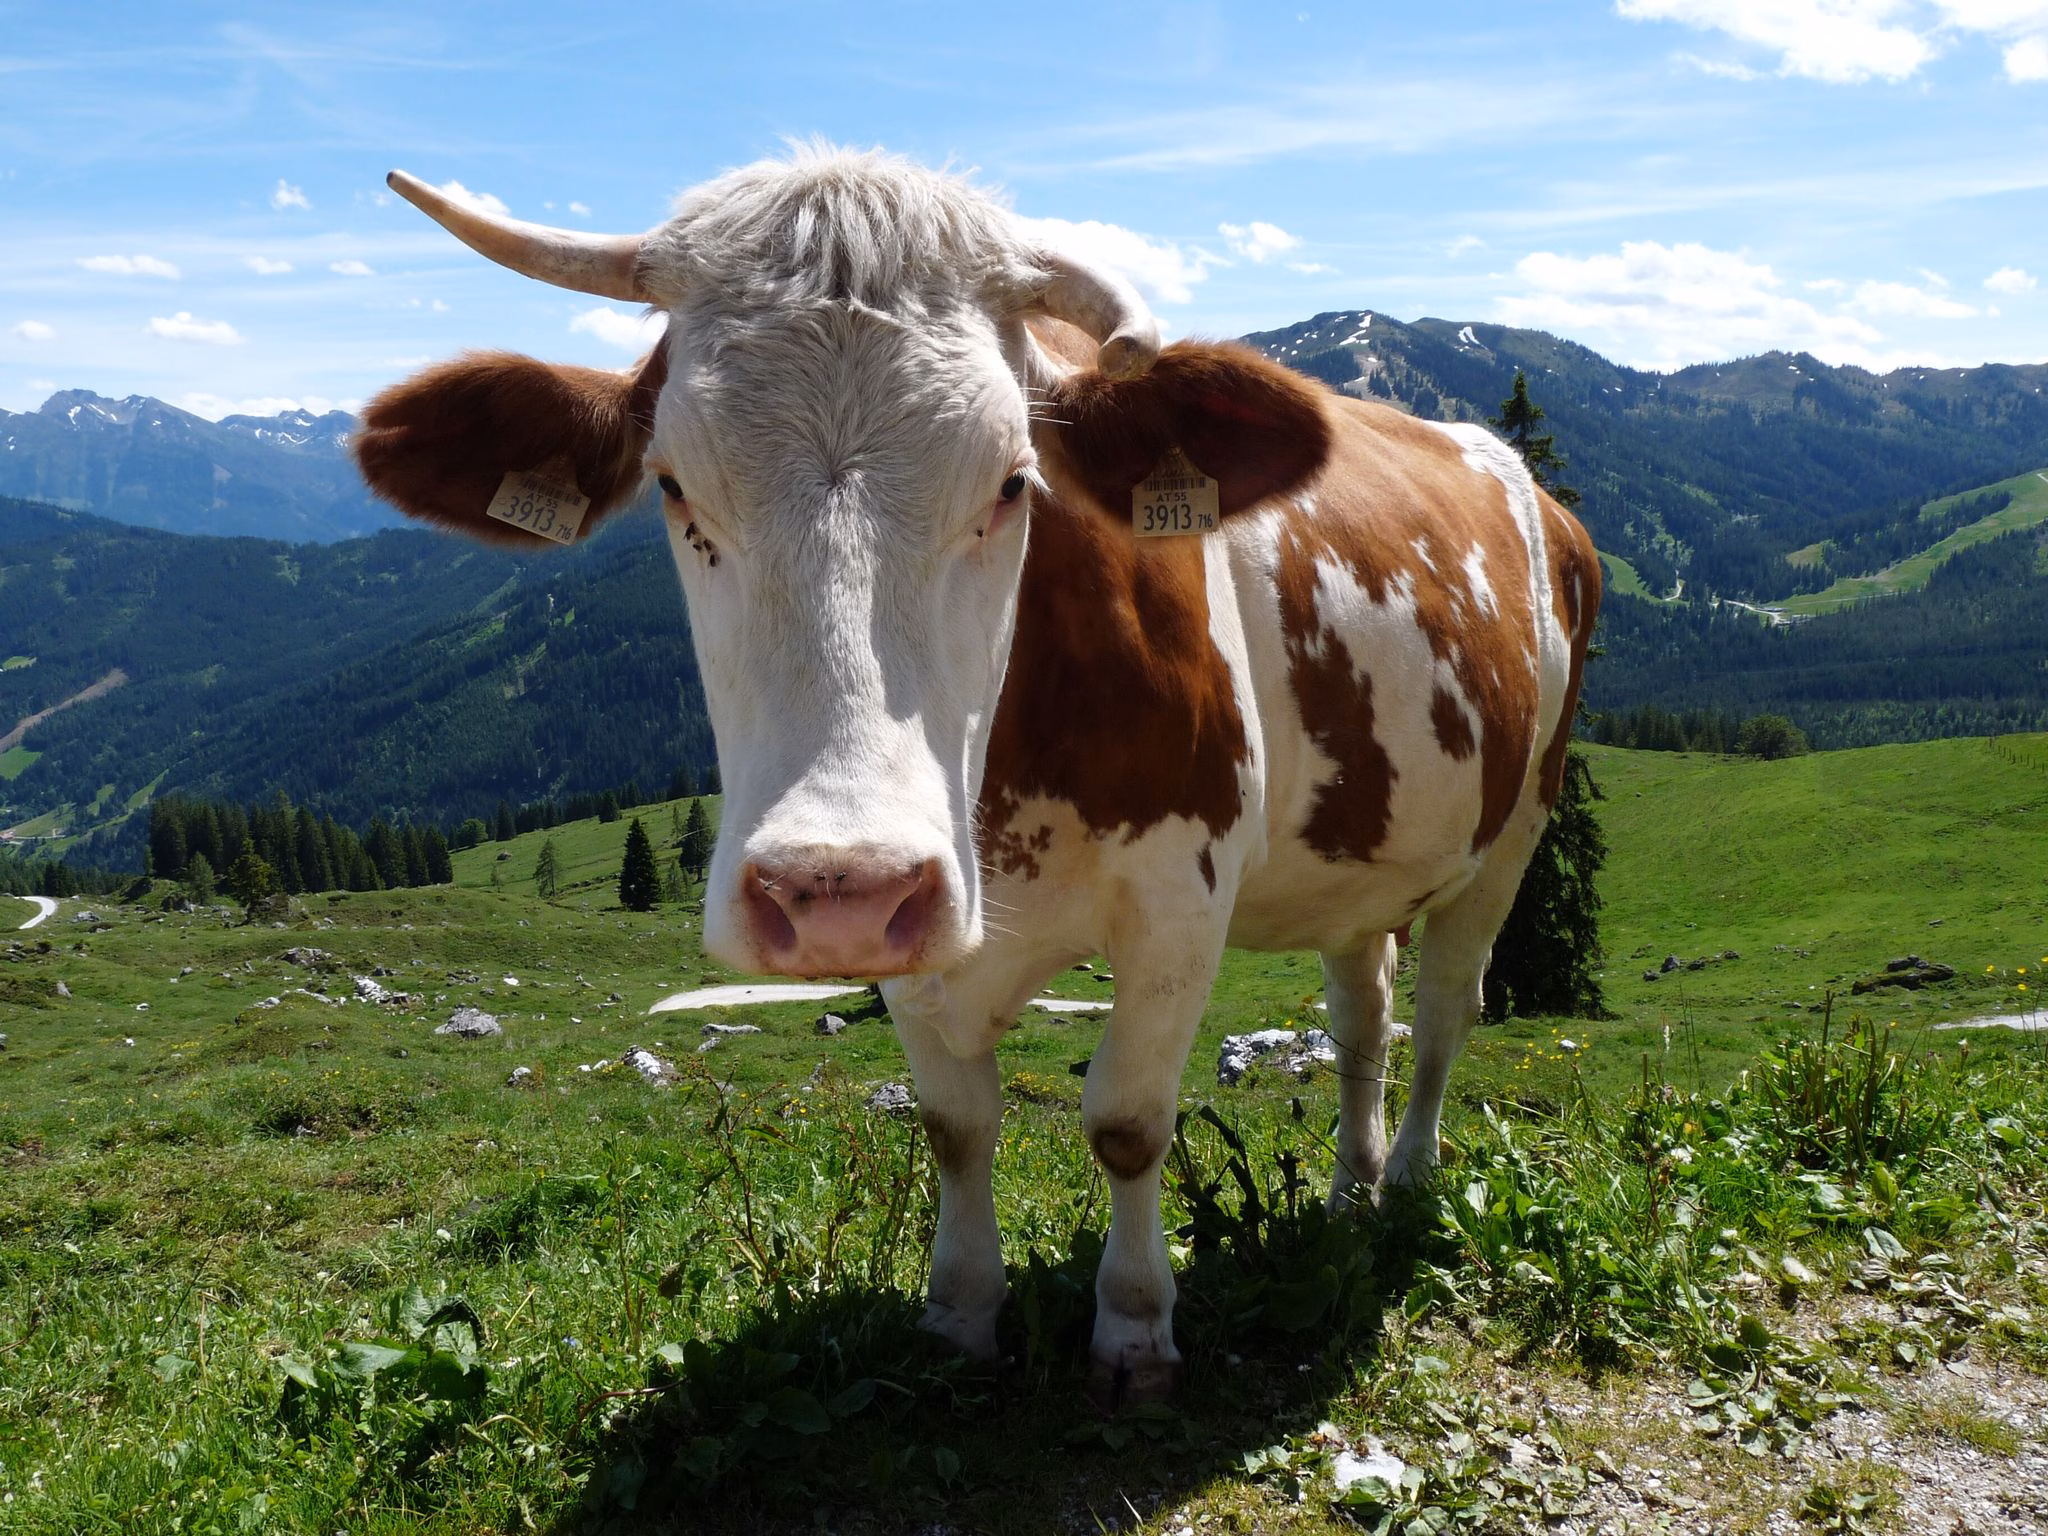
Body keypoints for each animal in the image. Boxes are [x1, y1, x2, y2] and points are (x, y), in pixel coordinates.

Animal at [354, 146, 1601, 1406]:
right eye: (671, 486)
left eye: (1011, 482)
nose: (831, 883)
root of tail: (1532, 491)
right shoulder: (913, 912)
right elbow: (954, 1123)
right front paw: (957, 1312)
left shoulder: (1176, 901)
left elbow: (1128, 1121)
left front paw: (1133, 1328)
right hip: (1359, 857)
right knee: (1361, 1015)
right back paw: (1348, 1190)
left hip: (1518, 824)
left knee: (1441, 1009)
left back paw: (1409, 1183)